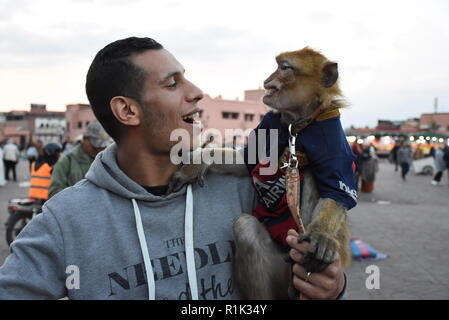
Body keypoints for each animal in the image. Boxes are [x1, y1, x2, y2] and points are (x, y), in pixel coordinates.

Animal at [168, 47, 356, 300]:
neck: (296, 124)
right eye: (276, 66)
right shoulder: (269, 121)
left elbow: (338, 191)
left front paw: (322, 236)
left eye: (284, 68)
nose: (268, 79)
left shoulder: (331, 134)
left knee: (312, 175)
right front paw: (197, 163)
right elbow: (246, 162)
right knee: (245, 227)